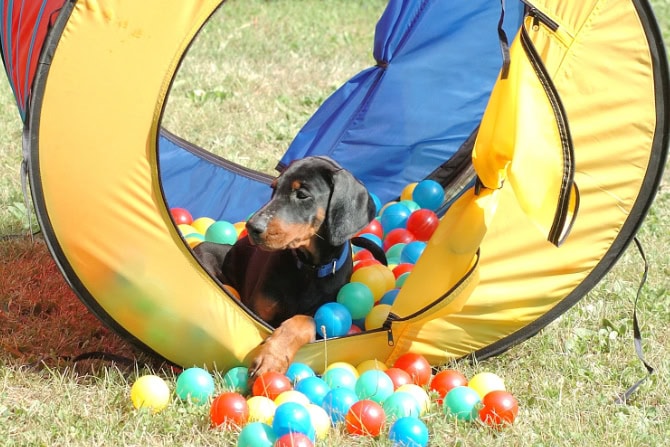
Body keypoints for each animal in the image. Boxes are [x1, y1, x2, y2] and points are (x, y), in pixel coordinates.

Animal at [194, 157, 378, 382]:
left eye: (302, 194)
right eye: (274, 188)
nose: (252, 227)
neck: (308, 269)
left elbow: (304, 321)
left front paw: (272, 357)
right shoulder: (258, 312)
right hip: (206, 250)